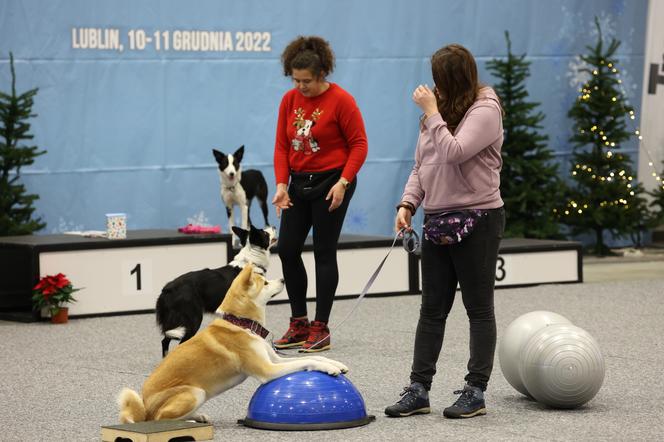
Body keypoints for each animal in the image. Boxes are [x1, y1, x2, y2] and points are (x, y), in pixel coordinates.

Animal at [117, 264, 350, 424]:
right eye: (265, 282)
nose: (283, 279)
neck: (242, 323)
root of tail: (144, 409)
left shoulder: (274, 359)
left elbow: (312, 356)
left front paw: (335, 364)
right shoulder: (268, 369)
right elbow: (303, 363)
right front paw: (329, 368)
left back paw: (198, 416)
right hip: (194, 392)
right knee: (160, 419)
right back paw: (190, 420)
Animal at [156, 224, 274, 356]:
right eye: (265, 233)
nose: (274, 226)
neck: (252, 262)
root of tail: (167, 289)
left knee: (164, 341)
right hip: (192, 320)